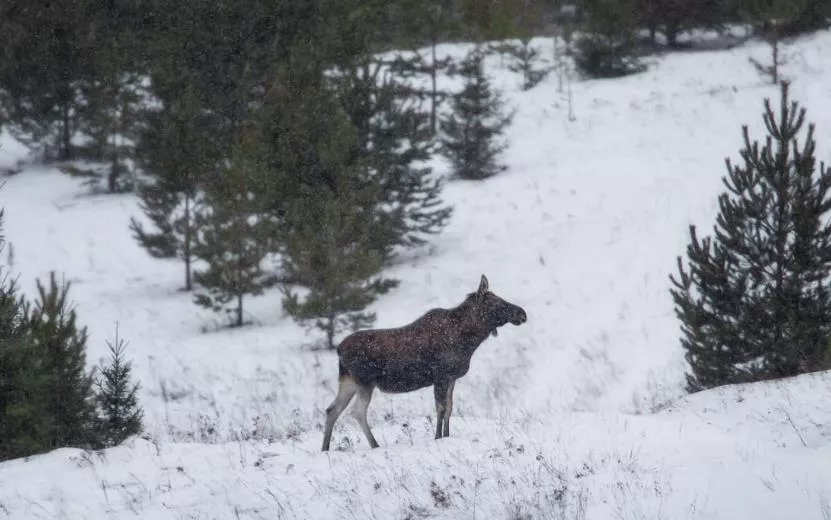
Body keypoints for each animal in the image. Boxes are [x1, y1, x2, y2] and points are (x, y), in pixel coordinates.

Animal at [322, 276, 528, 450]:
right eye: (497, 301)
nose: (522, 313)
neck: (469, 341)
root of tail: (338, 350)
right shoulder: (440, 376)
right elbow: (441, 408)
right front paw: (438, 437)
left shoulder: (452, 378)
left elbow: (449, 408)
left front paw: (447, 435)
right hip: (365, 383)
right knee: (357, 412)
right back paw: (375, 445)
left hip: (348, 382)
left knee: (332, 409)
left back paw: (325, 448)